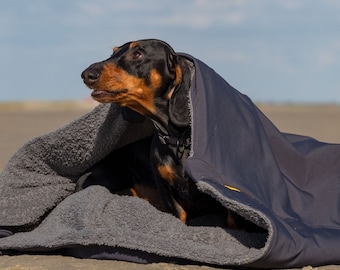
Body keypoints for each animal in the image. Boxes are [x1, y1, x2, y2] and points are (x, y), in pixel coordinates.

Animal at [81, 39, 258, 230]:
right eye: (113, 52)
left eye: (137, 54)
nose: (86, 75)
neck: (180, 141)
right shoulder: (165, 188)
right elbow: (179, 214)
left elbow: (232, 218)